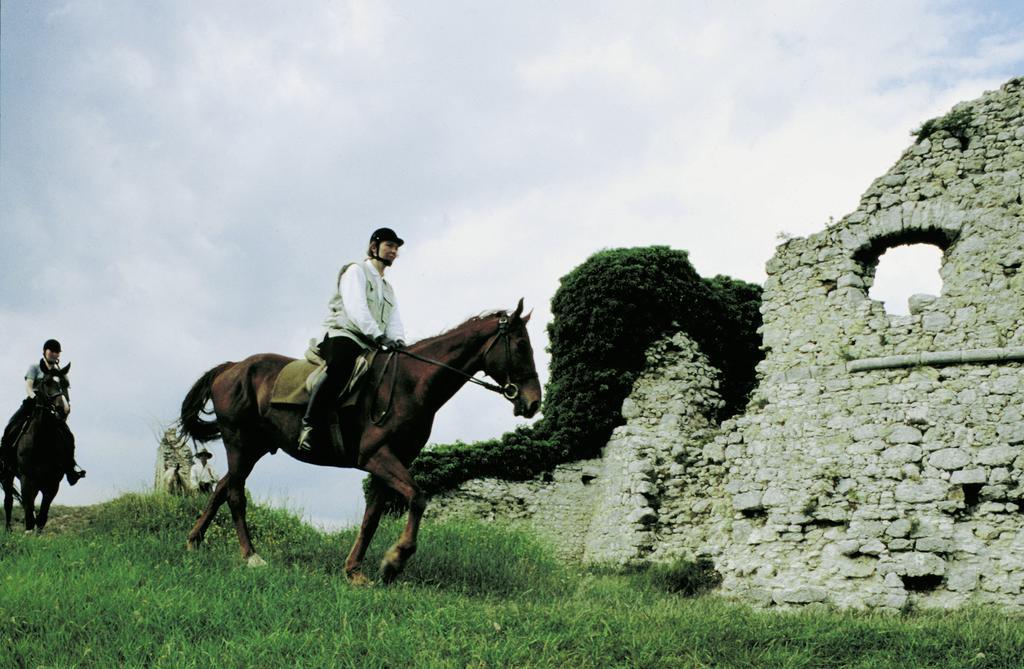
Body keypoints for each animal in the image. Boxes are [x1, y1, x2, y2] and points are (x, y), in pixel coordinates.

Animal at [2, 362, 74, 528]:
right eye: (47, 382)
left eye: (66, 384)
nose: (63, 409)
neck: (43, 441)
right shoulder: (27, 480)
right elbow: (29, 514)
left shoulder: (52, 483)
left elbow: (41, 517)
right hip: (7, 476)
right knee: (8, 502)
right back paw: (8, 529)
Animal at [176, 299, 544, 581]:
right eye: (521, 345)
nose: (533, 402)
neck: (410, 384)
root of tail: (233, 367)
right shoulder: (376, 456)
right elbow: (418, 498)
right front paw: (394, 561)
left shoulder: (391, 462)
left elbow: (372, 518)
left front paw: (354, 570)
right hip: (239, 442)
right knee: (235, 495)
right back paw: (250, 555)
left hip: (253, 448)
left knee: (222, 487)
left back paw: (194, 542)